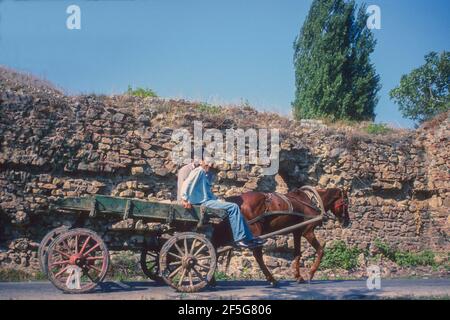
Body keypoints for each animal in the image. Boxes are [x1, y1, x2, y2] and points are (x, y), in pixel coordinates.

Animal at [211, 188, 352, 284]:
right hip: (256, 230)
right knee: (257, 255)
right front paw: (310, 274)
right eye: (345, 203)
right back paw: (271, 279)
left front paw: (298, 277)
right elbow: (321, 251)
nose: (347, 222)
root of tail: (236, 199)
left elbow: (297, 253)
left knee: (215, 245)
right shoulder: (308, 231)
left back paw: (212, 279)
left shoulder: (297, 232)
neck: (312, 202)